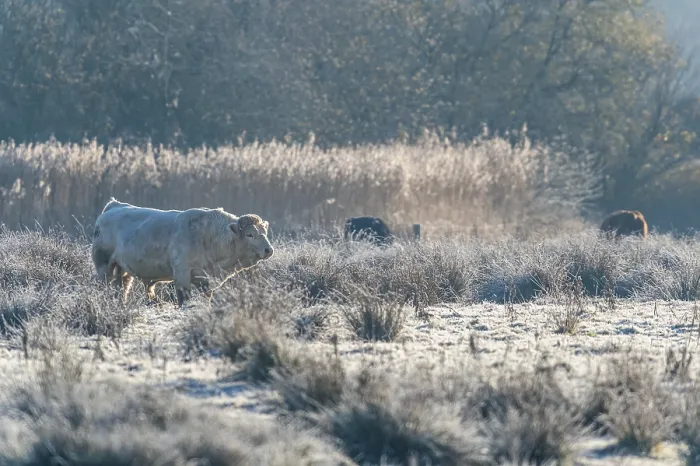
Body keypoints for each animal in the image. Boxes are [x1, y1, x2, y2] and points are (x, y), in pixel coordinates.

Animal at [91, 198, 274, 307]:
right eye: (250, 234)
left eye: (264, 232)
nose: (268, 249)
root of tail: (113, 206)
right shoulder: (182, 273)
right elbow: (183, 299)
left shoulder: (205, 280)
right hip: (104, 267)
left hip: (123, 271)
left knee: (122, 289)